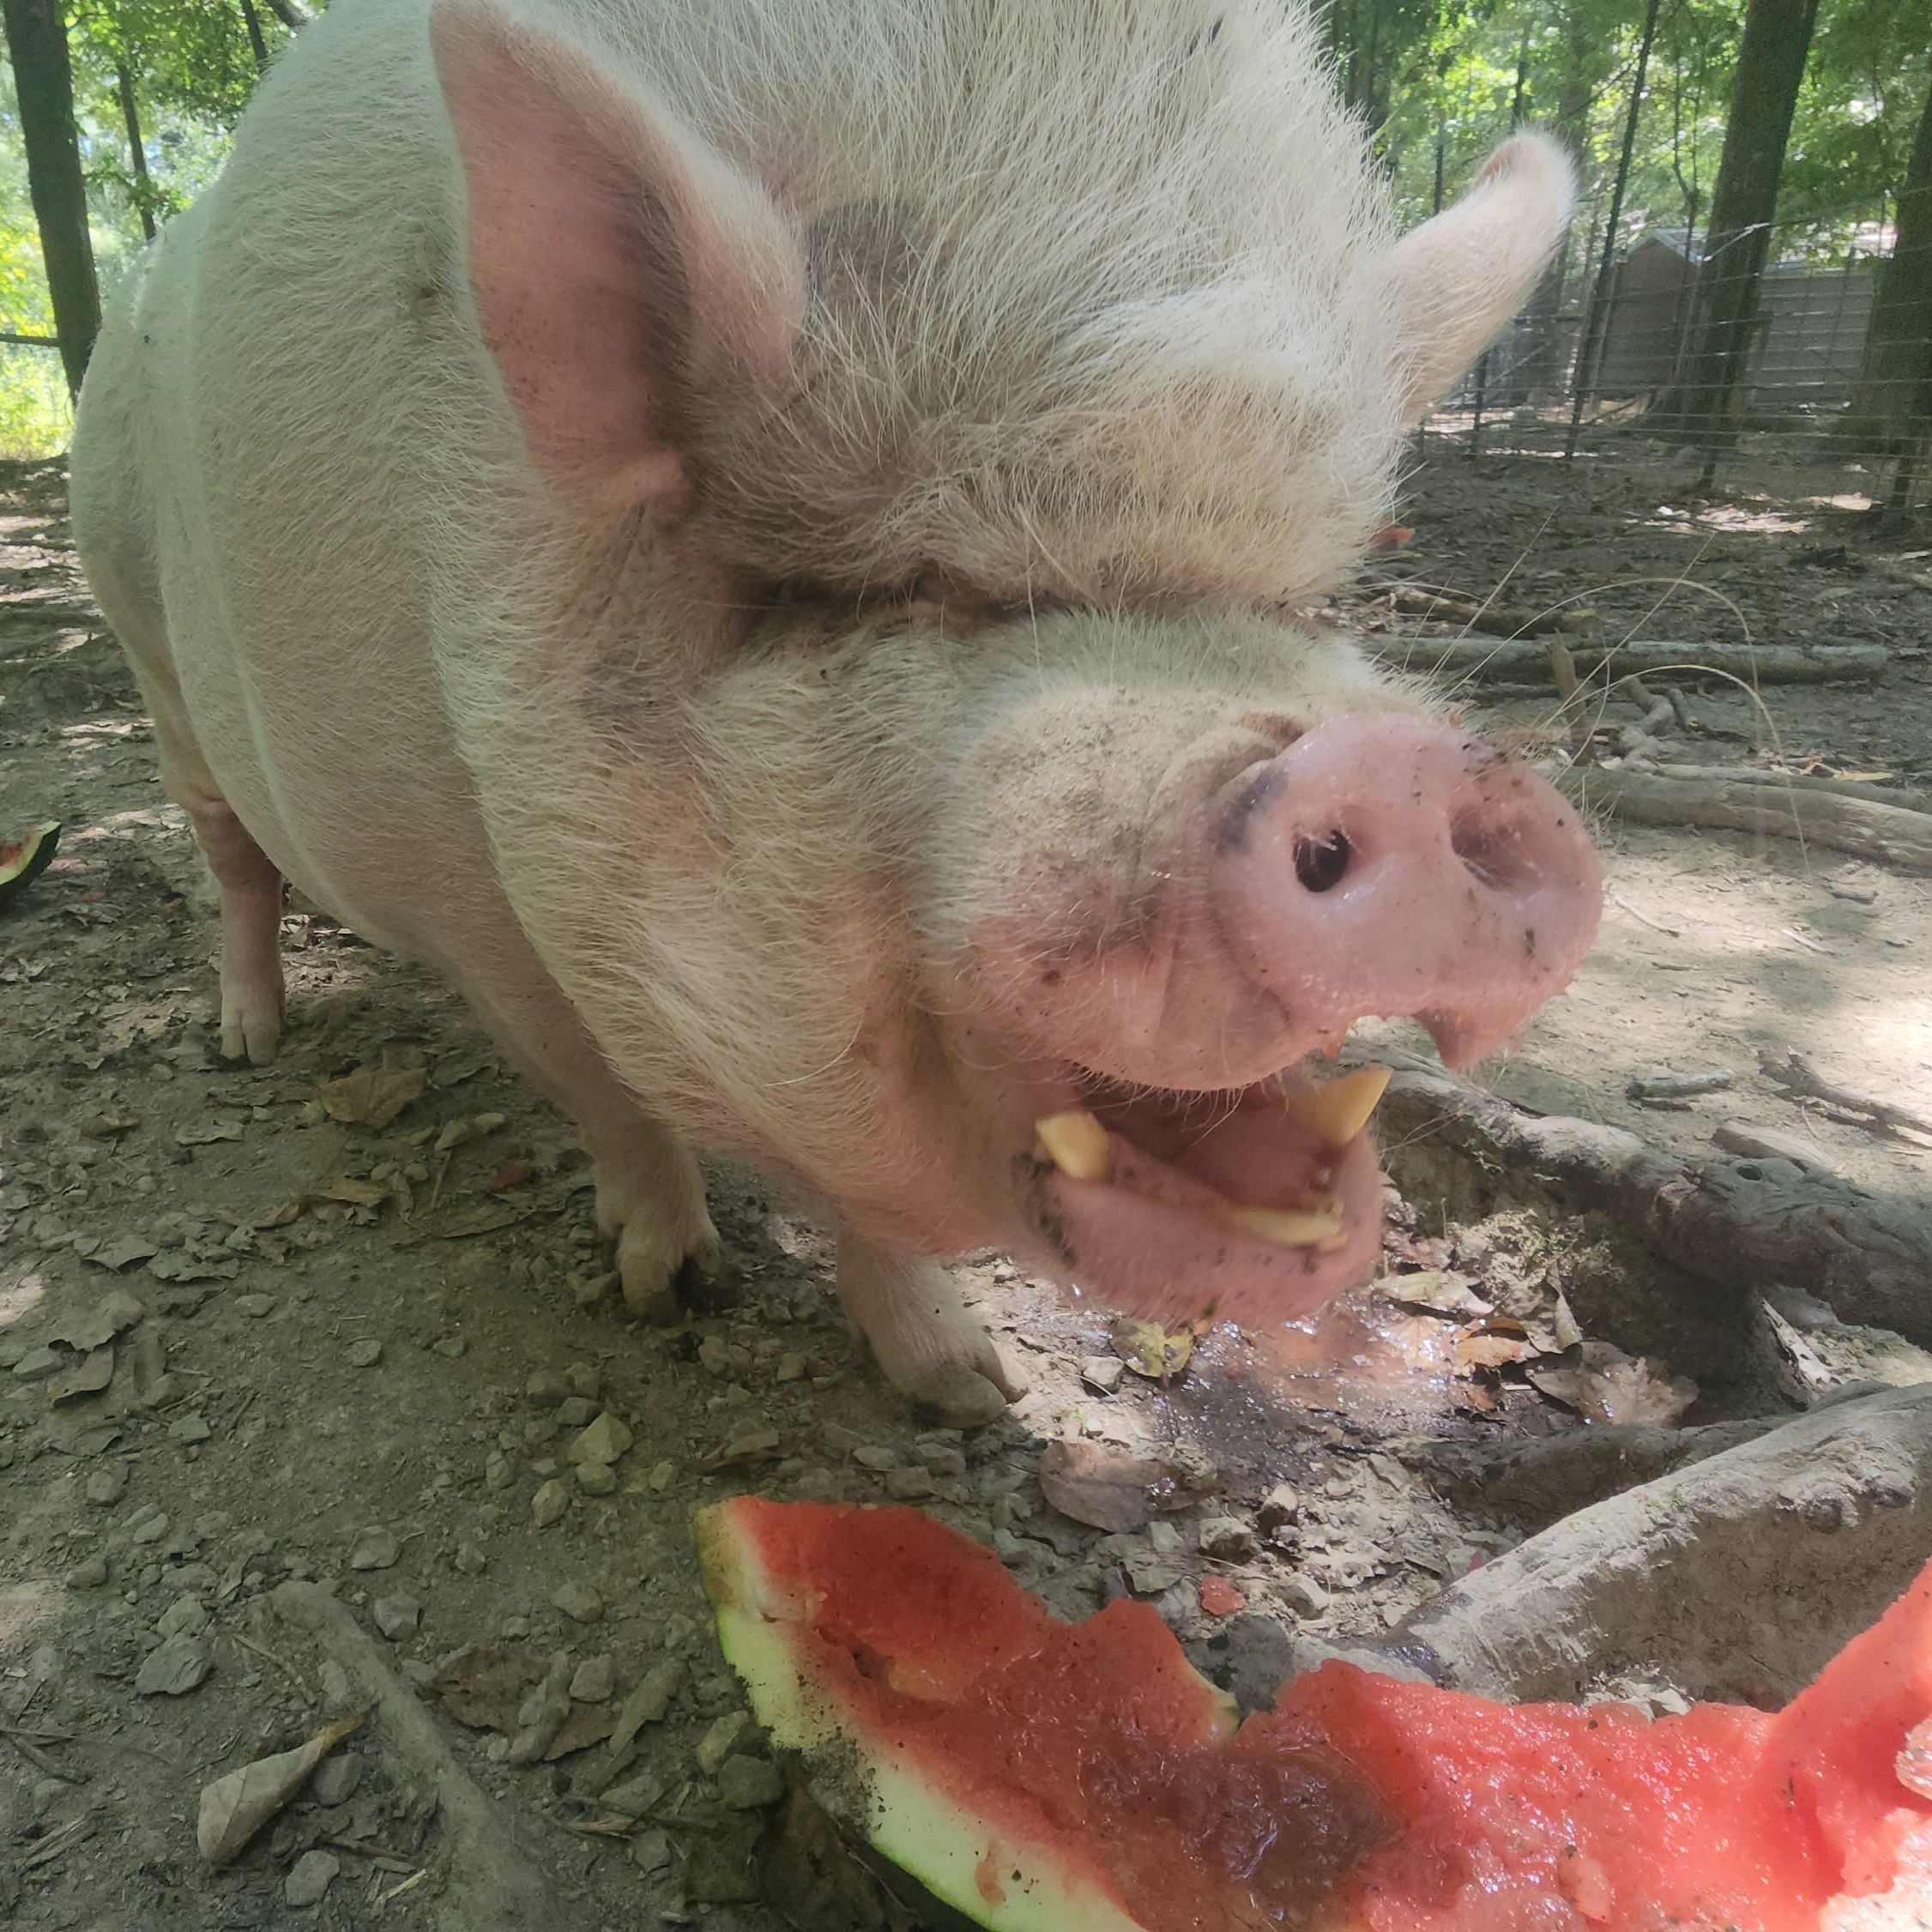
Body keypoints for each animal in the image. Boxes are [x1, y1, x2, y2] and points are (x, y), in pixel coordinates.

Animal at [70, 0, 1601, 1426]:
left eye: (1310, 601)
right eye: (906, 589)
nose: (1401, 766)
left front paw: (972, 1390)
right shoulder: (463, 899)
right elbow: (612, 1107)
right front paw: (674, 1288)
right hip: (143, 644)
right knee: (230, 860)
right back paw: (248, 1041)